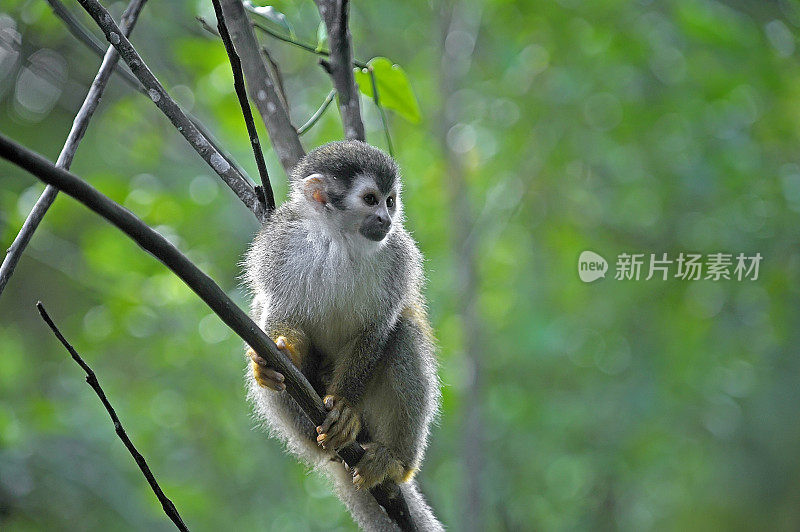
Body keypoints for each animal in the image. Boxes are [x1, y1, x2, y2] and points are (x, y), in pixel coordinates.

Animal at [244, 139, 444, 528]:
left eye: (390, 201)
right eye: (370, 199)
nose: (386, 219)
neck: (339, 238)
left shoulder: (399, 256)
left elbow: (376, 330)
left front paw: (344, 408)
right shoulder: (277, 245)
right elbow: (279, 312)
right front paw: (280, 356)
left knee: (404, 333)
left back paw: (394, 461)